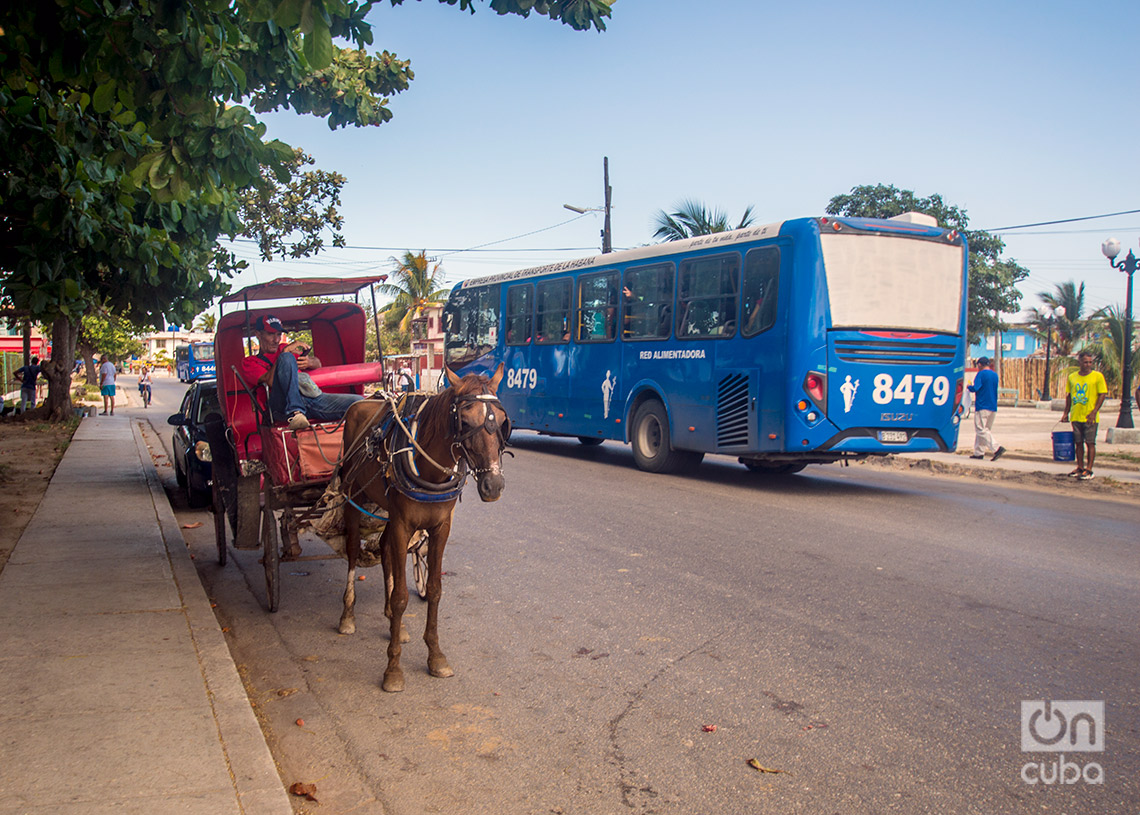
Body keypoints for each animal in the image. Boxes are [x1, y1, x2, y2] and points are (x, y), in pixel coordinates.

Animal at [332, 367, 506, 693]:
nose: (494, 485)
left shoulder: (440, 528)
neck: (430, 470)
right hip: (352, 496)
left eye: (503, 421)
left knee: (384, 547)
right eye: (465, 421)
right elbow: (402, 596)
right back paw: (347, 614)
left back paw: (392, 621)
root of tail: (362, 402)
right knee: (351, 550)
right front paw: (393, 669)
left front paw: (435, 656)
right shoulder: (403, 524)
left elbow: (435, 591)